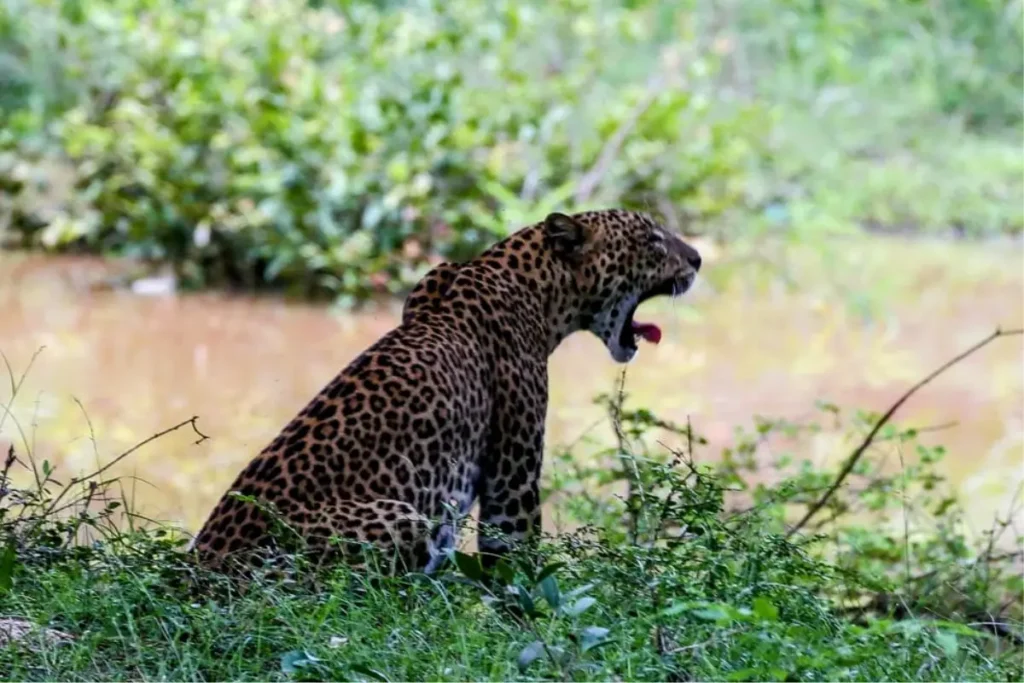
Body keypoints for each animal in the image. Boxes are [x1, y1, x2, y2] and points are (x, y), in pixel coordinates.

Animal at [187, 209, 702, 575]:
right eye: (654, 240)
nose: (698, 258)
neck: (542, 290)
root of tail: (197, 578)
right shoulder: (512, 477)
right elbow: (515, 563)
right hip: (402, 518)